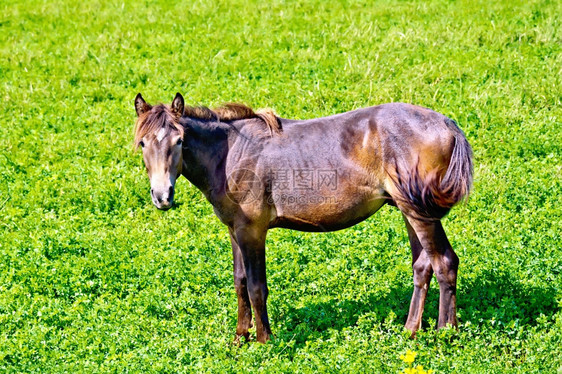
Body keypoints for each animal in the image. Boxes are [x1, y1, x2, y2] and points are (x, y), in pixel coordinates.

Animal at [133, 93, 470, 342]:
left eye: (179, 141)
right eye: (143, 143)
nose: (162, 196)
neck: (230, 154)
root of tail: (446, 123)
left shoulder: (252, 231)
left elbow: (256, 286)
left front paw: (263, 340)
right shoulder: (234, 230)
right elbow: (240, 282)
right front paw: (240, 337)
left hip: (420, 213)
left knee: (444, 262)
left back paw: (445, 332)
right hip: (409, 211)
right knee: (423, 266)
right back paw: (410, 330)